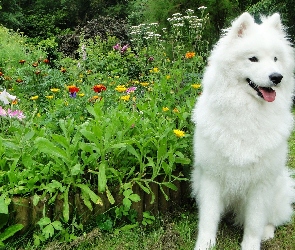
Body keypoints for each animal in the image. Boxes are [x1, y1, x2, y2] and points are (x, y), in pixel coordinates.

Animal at [193, 12, 294, 250]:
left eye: (275, 59)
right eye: (253, 59)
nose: (277, 77)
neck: (246, 113)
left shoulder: (261, 184)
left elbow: (255, 222)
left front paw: (250, 245)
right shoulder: (211, 177)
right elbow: (208, 218)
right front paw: (205, 244)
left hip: (276, 190)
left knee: (271, 219)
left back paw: (267, 232)